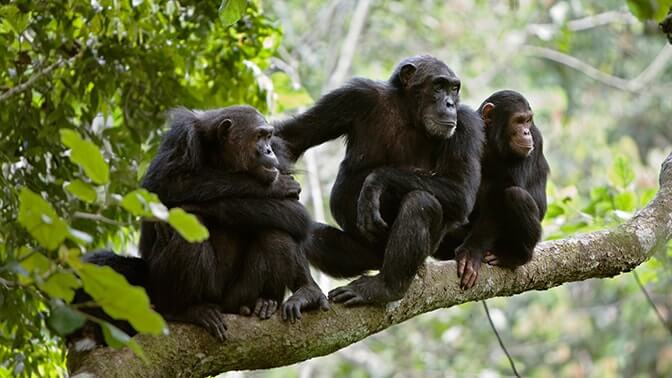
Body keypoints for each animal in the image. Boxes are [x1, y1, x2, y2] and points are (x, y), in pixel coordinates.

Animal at [138, 105, 326, 340]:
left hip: (238, 296)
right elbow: (162, 186)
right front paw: (276, 186)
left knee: (275, 229)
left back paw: (291, 295)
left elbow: (295, 212)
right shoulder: (181, 138)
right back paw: (184, 310)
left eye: (268, 137)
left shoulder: (280, 153)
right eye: (258, 136)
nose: (268, 151)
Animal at [272, 54, 484, 306]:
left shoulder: (467, 124)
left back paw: (385, 288)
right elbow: (291, 138)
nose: (450, 103)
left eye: (454, 88)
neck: (408, 113)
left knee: (421, 203)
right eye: (439, 86)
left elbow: (460, 190)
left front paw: (375, 183)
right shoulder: (353, 96)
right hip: (362, 255)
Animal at [434, 91, 548, 290]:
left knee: (516, 195)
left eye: (528, 121)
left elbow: (500, 197)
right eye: (519, 121)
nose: (525, 132)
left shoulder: (535, 139)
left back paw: (514, 256)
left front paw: (471, 252)